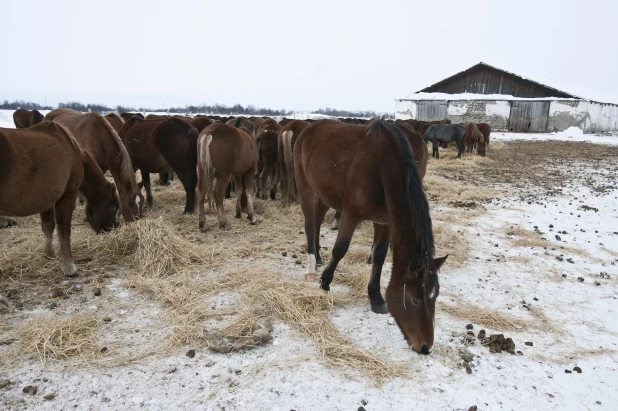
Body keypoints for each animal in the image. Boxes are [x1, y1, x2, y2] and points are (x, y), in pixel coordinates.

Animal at [0, 123, 120, 276]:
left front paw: (49, 254)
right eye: (115, 208)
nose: (114, 228)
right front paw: (69, 266)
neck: (74, 153)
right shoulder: (67, 196)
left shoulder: (47, 200)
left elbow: (48, 227)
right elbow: (64, 230)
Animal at [294, 120, 446, 354]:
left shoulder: (384, 222)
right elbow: (340, 249)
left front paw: (375, 296)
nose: (425, 346)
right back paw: (312, 264)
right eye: (415, 300)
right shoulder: (350, 215)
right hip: (305, 187)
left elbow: (380, 256)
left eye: (435, 296)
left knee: (318, 219)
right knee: (310, 223)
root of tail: (309, 128)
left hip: (325, 192)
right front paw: (325, 282)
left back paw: (318, 257)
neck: (382, 168)